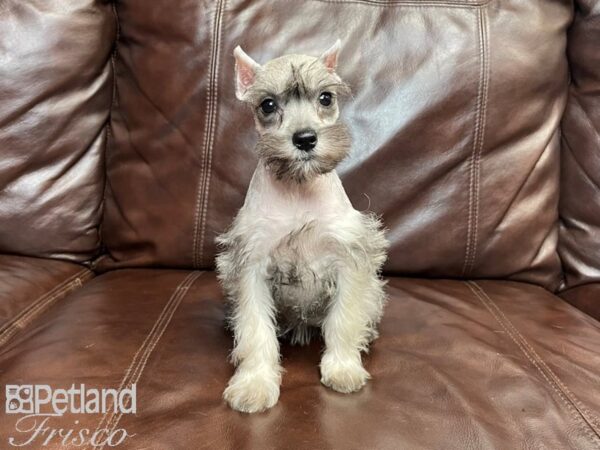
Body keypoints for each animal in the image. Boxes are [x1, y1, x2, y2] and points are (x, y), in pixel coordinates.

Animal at [217, 40, 390, 414]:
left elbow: (344, 319)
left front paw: (343, 368)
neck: (298, 187)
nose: (306, 138)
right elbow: (255, 328)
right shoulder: (251, 264)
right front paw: (254, 384)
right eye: (268, 104)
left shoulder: (349, 257)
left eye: (325, 98)